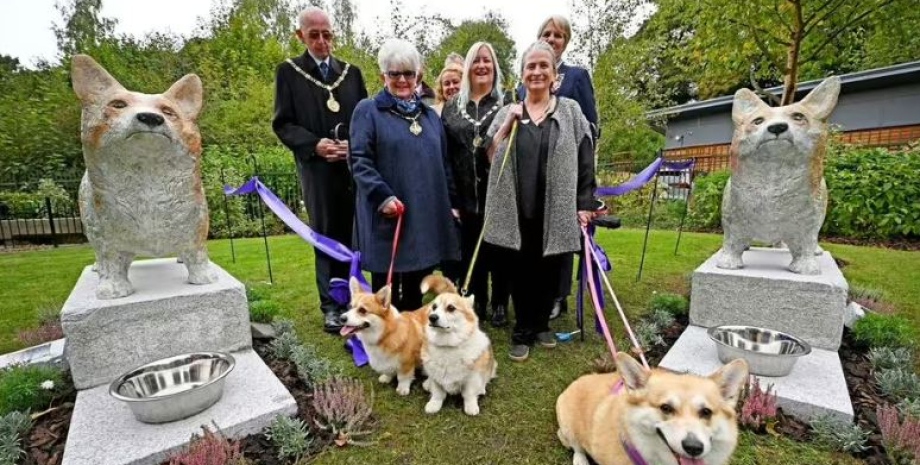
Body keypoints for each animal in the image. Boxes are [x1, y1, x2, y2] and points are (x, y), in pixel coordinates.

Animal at [72, 52, 216, 296]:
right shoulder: (107, 236)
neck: (148, 180)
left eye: (168, 111)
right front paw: (113, 289)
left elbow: (197, 254)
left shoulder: (196, 227)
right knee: (98, 252)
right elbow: (111, 260)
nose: (150, 117)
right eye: (118, 105)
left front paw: (203, 277)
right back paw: (97, 268)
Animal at [422, 276, 500, 414]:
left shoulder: (471, 378)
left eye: (451, 308)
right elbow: (437, 393)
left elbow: (469, 394)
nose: (432, 317)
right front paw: (433, 405)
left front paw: (471, 407)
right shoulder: (436, 377)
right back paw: (427, 384)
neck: (447, 344)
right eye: (434, 307)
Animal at [720, 75, 840, 272]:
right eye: (758, 121)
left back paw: (814, 251)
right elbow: (732, 241)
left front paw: (805, 267)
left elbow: (806, 242)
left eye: (798, 117)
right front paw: (728, 261)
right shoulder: (733, 219)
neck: (773, 176)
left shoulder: (807, 223)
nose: (777, 127)